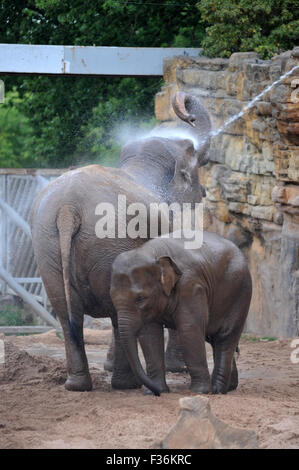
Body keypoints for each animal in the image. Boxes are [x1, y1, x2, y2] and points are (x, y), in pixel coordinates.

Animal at [30, 90, 212, 392]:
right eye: (192, 152)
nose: (189, 115)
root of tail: (68, 208)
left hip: (47, 245)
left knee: (67, 312)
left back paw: (78, 385)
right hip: (109, 243)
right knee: (115, 310)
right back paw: (126, 384)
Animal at [109, 231, 251, 396]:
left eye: (141, 298)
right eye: (111, 296)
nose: (157, 392)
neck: (152, 253)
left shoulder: (190, 286)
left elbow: (189, 330)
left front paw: (200, 392)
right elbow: (150, 334)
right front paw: (156, 391)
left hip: (240, 292)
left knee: (225, 337)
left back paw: (217, 390)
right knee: (214, 338)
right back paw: (228, 387)